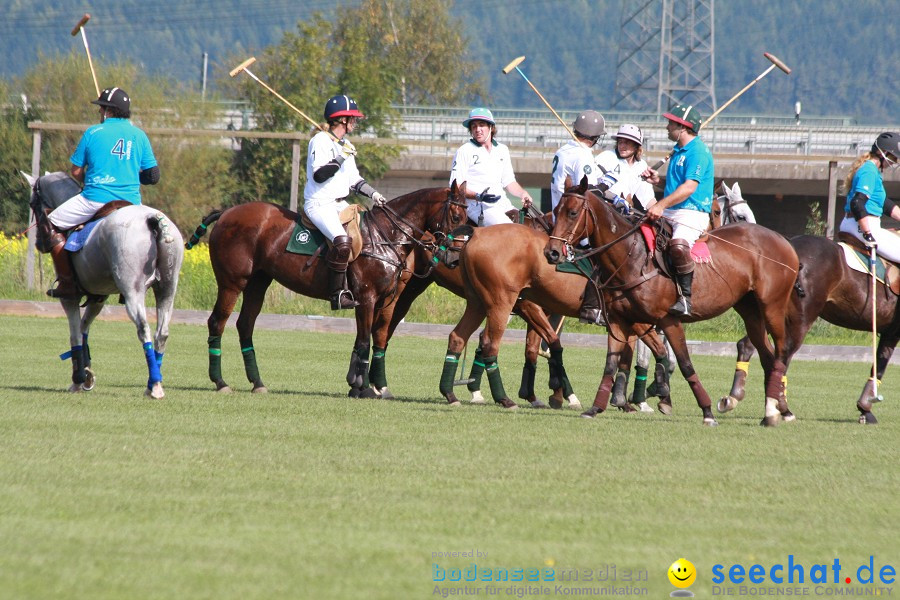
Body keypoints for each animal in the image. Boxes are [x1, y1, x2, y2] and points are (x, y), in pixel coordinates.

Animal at [24, 170, 185, 398]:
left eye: (32, 203)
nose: (39, 243)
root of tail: (152, 219)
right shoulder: (98, 296)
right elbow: (84, 327)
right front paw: (87, 375)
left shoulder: (69, 297)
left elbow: (75, 333)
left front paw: (78, 379)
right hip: (168, 287)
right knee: (162, 332)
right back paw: (153, 383)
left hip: (132, 290)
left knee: (143, 328)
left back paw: (154, 385)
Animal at [185, 183, 468, 398]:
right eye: (456, 217)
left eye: (468, 219)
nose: (455, 259)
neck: (384, 237)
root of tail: (226, 213)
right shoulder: (366, 298)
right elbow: (365, 341)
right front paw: (365, 388)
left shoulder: (383, 300)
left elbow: (373, 339)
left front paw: (360, 386)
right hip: (232, 282)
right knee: (217, 322)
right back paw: (220, 382)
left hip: (258, 283)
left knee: (245, 325)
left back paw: (258, 383)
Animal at [432, 223, 672, 410]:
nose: (447, 257)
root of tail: (478, 232)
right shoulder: (637, 322)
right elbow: (658, 352)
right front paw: (652, 395)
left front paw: (629, 399)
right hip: (500, 303)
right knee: (490, 344)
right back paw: (504, 399)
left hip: (478, 303)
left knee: (459, 337)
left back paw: (451, 394)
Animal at [544, 182, 800, 426]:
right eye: (557, 211)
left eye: (573, 212)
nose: (552, 252)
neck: (632, 257)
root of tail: (784, 241)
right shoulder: (620, 321)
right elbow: (612, 364)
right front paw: (596, 408)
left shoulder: (667, 320)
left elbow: (683, 363)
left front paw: (706, 412)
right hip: (750, 311)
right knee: (768, 357)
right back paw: (776, 410)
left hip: (772, 307)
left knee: (780, 353)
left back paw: (777, 410)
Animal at [720, 232, 900, 424]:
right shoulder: (892, 332)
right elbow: (880, 366)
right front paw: (865, 408)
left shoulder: (890, 332)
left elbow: (879, 364)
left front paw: (865, 409)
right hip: (800, 319)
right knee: (782, 357)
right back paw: (781, 409)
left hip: (770, 314)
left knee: (749, 345)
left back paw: (735, 397)